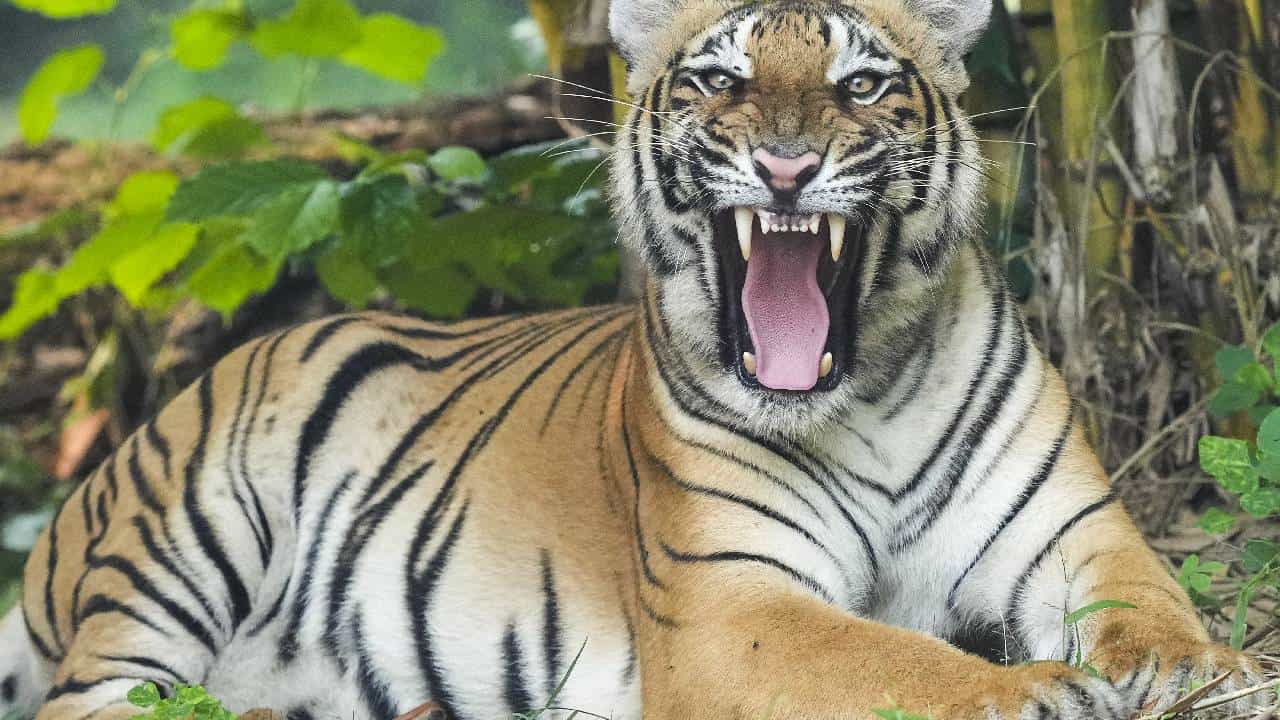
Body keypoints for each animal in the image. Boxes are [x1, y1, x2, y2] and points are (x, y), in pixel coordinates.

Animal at [2, 0, 1276, 719]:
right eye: (721, 79)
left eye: (860, 83)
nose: (784, 165)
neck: (865, 397)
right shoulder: (730, 600)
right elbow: (899, 662)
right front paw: (1042, 694)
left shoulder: (1074, 536)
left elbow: (1156, 613)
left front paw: (1206, 678)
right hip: (179, 539)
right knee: (98, 704)